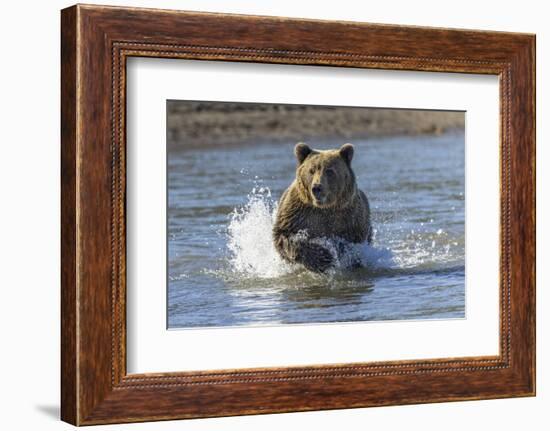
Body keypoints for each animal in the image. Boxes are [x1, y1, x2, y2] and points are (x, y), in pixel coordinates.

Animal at [272, 145, 374, 274]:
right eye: (311, 170)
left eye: (329, 171)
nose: (317, 188)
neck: (324, 208)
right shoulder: (297, 215)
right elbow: (285, 236)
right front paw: (323, 257)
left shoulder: (350, 219)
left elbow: (350, 245)